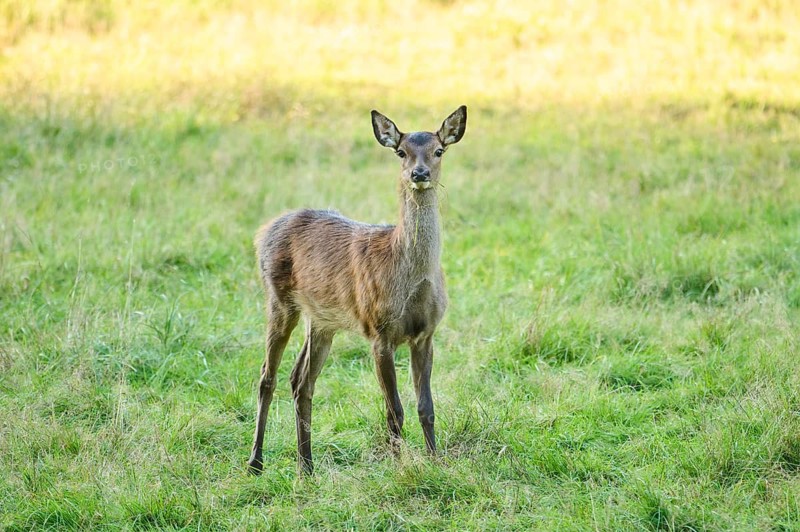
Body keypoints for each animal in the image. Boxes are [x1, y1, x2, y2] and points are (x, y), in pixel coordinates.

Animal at [247, 106, 467, 475]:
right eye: (400, 152)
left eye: (439, 150)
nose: (419, 173)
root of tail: (263, 230)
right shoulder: (379, 331)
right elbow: (395, 411)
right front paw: (400, 468)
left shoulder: (426, 333)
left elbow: (426, 407)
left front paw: (435, 462)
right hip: (278, 299)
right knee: (267, 376)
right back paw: (256, 462)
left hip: (322, 320)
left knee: (301, 380)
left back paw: (306, 466)